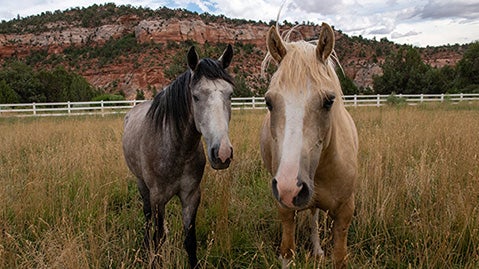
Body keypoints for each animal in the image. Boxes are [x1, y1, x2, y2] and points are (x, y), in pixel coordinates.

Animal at [123, 45, 235, 266]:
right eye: (196, 96)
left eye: (230, 94)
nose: (223, 154)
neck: (177, 149)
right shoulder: (158, 198)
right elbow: (158, 239)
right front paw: (154, 260)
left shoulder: (191, 196)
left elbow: (190, 241)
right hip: (142, 184)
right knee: (148, 219)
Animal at [260, 23, 358, 268]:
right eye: (268, 102)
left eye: (329, 101)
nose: (289, 188)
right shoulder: (285, 209)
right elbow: (287, 252)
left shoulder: (345, 211)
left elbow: (339, 257)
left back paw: (317, 249)